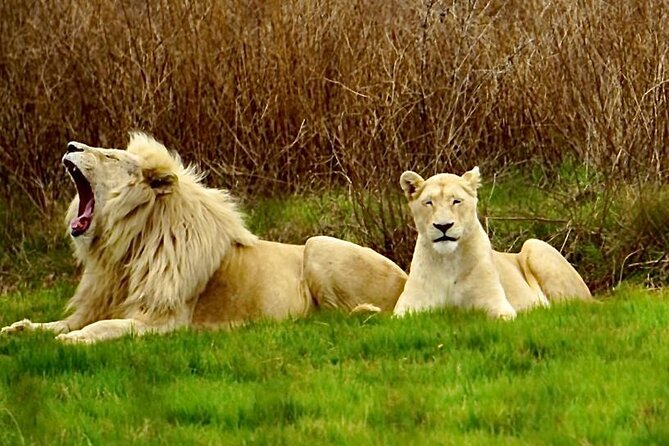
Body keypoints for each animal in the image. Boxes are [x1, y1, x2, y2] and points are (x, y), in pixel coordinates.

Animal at [1, 133, 406, 343]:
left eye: (110, 157)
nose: (71, 145)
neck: (125, 250)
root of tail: (406, 275)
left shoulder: (164, 322)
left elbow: (106, 327)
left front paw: (73, 341)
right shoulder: (98, 302)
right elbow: (60, 323)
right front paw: (21, 329)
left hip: (318, 243)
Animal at [393, 167, 592, 319]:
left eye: (456, 201)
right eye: (428, 202)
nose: (443, 226)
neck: (448, 260)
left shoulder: (498, 304)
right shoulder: (407, 308)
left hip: (534, 244)